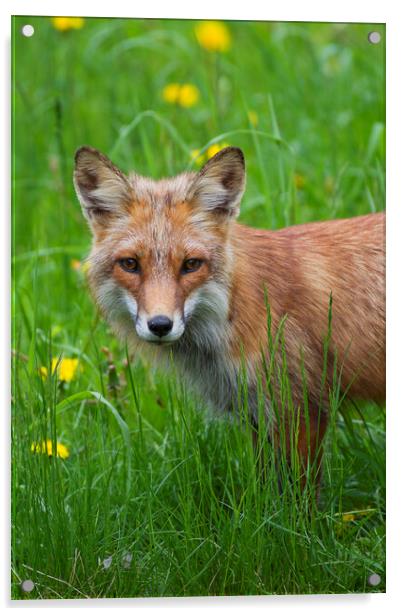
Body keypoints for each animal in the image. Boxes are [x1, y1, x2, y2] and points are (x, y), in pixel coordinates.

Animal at [74, 148, 384, 482]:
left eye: (191, 264)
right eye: (130, 264)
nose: (160, 325)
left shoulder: (301, 408)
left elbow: (299, 491)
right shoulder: (258, 414)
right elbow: (267, 484)